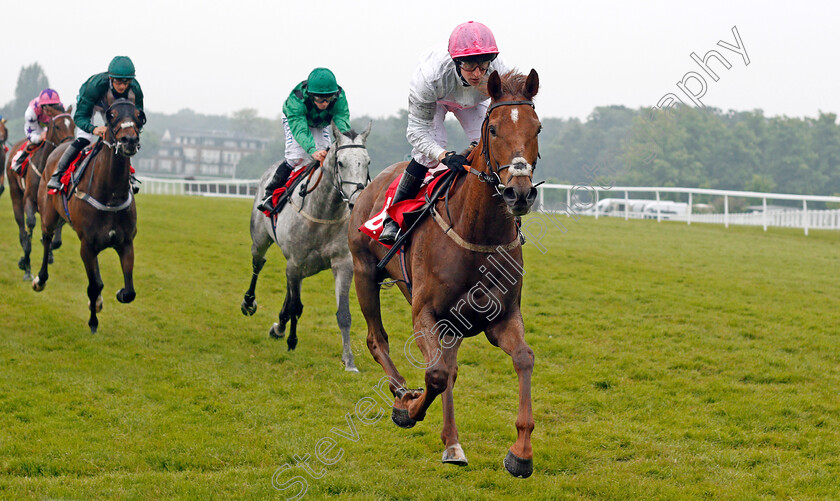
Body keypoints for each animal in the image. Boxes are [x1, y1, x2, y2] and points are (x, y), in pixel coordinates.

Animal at [4, 106, 73, 280]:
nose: (70, 145)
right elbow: (30, 225)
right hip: (15, 195)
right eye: (57, 126)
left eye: (73, 125)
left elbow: (55, 238)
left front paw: (49, 253)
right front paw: (25, 263)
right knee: (22, 230)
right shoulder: (28, 200)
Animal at [32, 91, 144, 332]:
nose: (129, 140)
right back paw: (40, 279)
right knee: (46, 240)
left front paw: (117, 294)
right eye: (112, 114)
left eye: (138, 115)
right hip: (48, 215)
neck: (110, 194)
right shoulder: (86, 245)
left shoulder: (125, 242)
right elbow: (93, 286)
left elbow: (128, 292)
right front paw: (93, 322)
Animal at [243, 121, 374, 372]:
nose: (357, 200)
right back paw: (249, 303)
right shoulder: (295, 261)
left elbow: (343, 314)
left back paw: (280, 325)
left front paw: (349, 360)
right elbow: (296, 306)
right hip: (260, 239)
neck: (323, 212)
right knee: (258, 264)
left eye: (367, 161)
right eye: (340, 162)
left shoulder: (342, 263)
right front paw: (292, 341)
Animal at [350, 70, 540, 476]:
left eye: (538, 128)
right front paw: (408, 408)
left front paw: (520, 451)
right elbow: (434, 376)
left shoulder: (500, 317)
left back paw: (452, 443)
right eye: (494, 129)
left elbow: (523, 358)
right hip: (363, 273)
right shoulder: (426, 312)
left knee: (448, 367)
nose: (519, 193)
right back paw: (402, 392)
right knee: (377, 339)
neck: (477, 234)